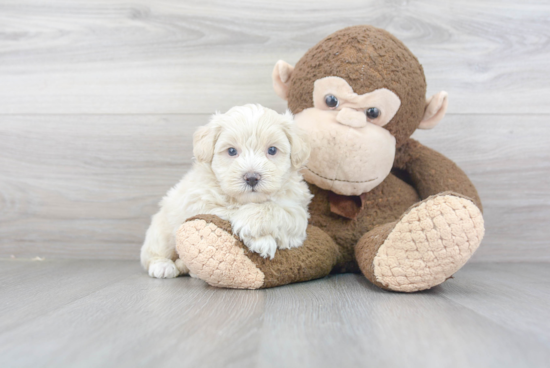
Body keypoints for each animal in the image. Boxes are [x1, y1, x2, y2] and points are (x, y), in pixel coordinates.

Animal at [140, 105, 312, 278]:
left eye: (272, 150)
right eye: (231, 151)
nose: (251, 178)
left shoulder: (297, 207)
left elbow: (285, 212)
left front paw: (253, 223)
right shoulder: (199, 202)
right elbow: (227, 211)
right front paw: (261, 239)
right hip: (162, 229)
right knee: (151, 253)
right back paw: (163, 266)